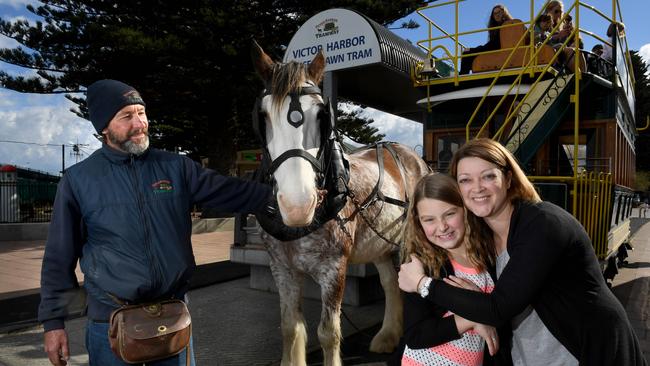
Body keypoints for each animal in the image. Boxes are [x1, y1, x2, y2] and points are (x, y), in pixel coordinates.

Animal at [251, 41, 428, 364]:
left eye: (322, 115)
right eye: (263, 115)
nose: (297, 205)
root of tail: (411, 154)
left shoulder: (334, 269)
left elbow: (328, 333)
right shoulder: (282, 269)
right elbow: (289, 327)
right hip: (380, 244)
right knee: (389, 283)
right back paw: (387, 335)